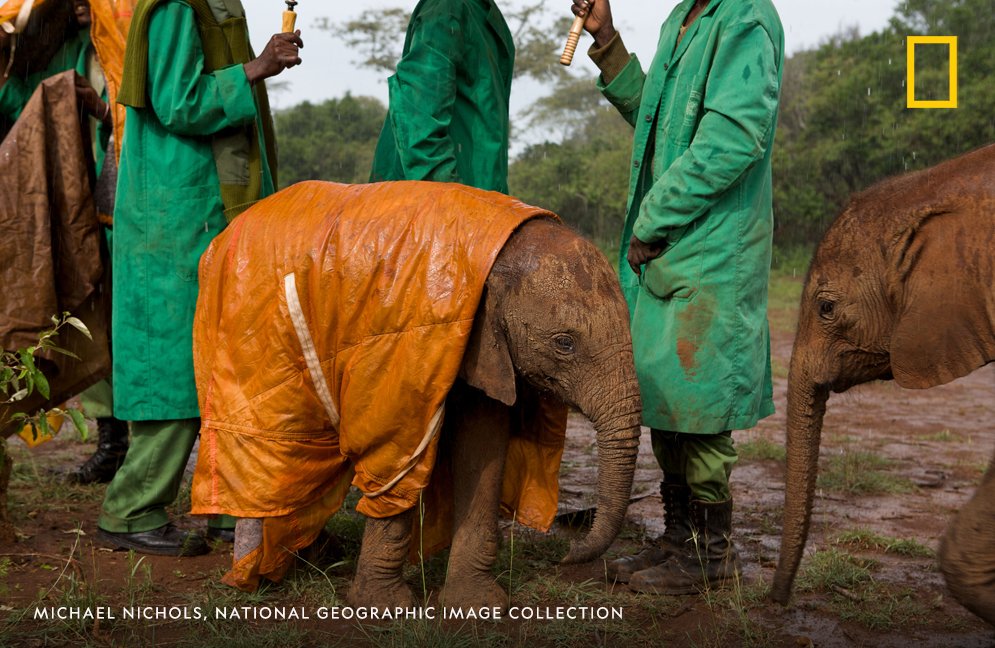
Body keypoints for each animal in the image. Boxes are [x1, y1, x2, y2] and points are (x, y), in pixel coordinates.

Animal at [190, 181, 642, 612]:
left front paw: (476, 605)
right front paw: (382, 607)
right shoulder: (402, 348)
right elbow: (397, 451)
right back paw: (256, 574)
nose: (566, 555)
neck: (494, 257)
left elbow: (484, 445)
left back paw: (309, 556)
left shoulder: (485, 346)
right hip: (245, 338)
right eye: (564, 343)